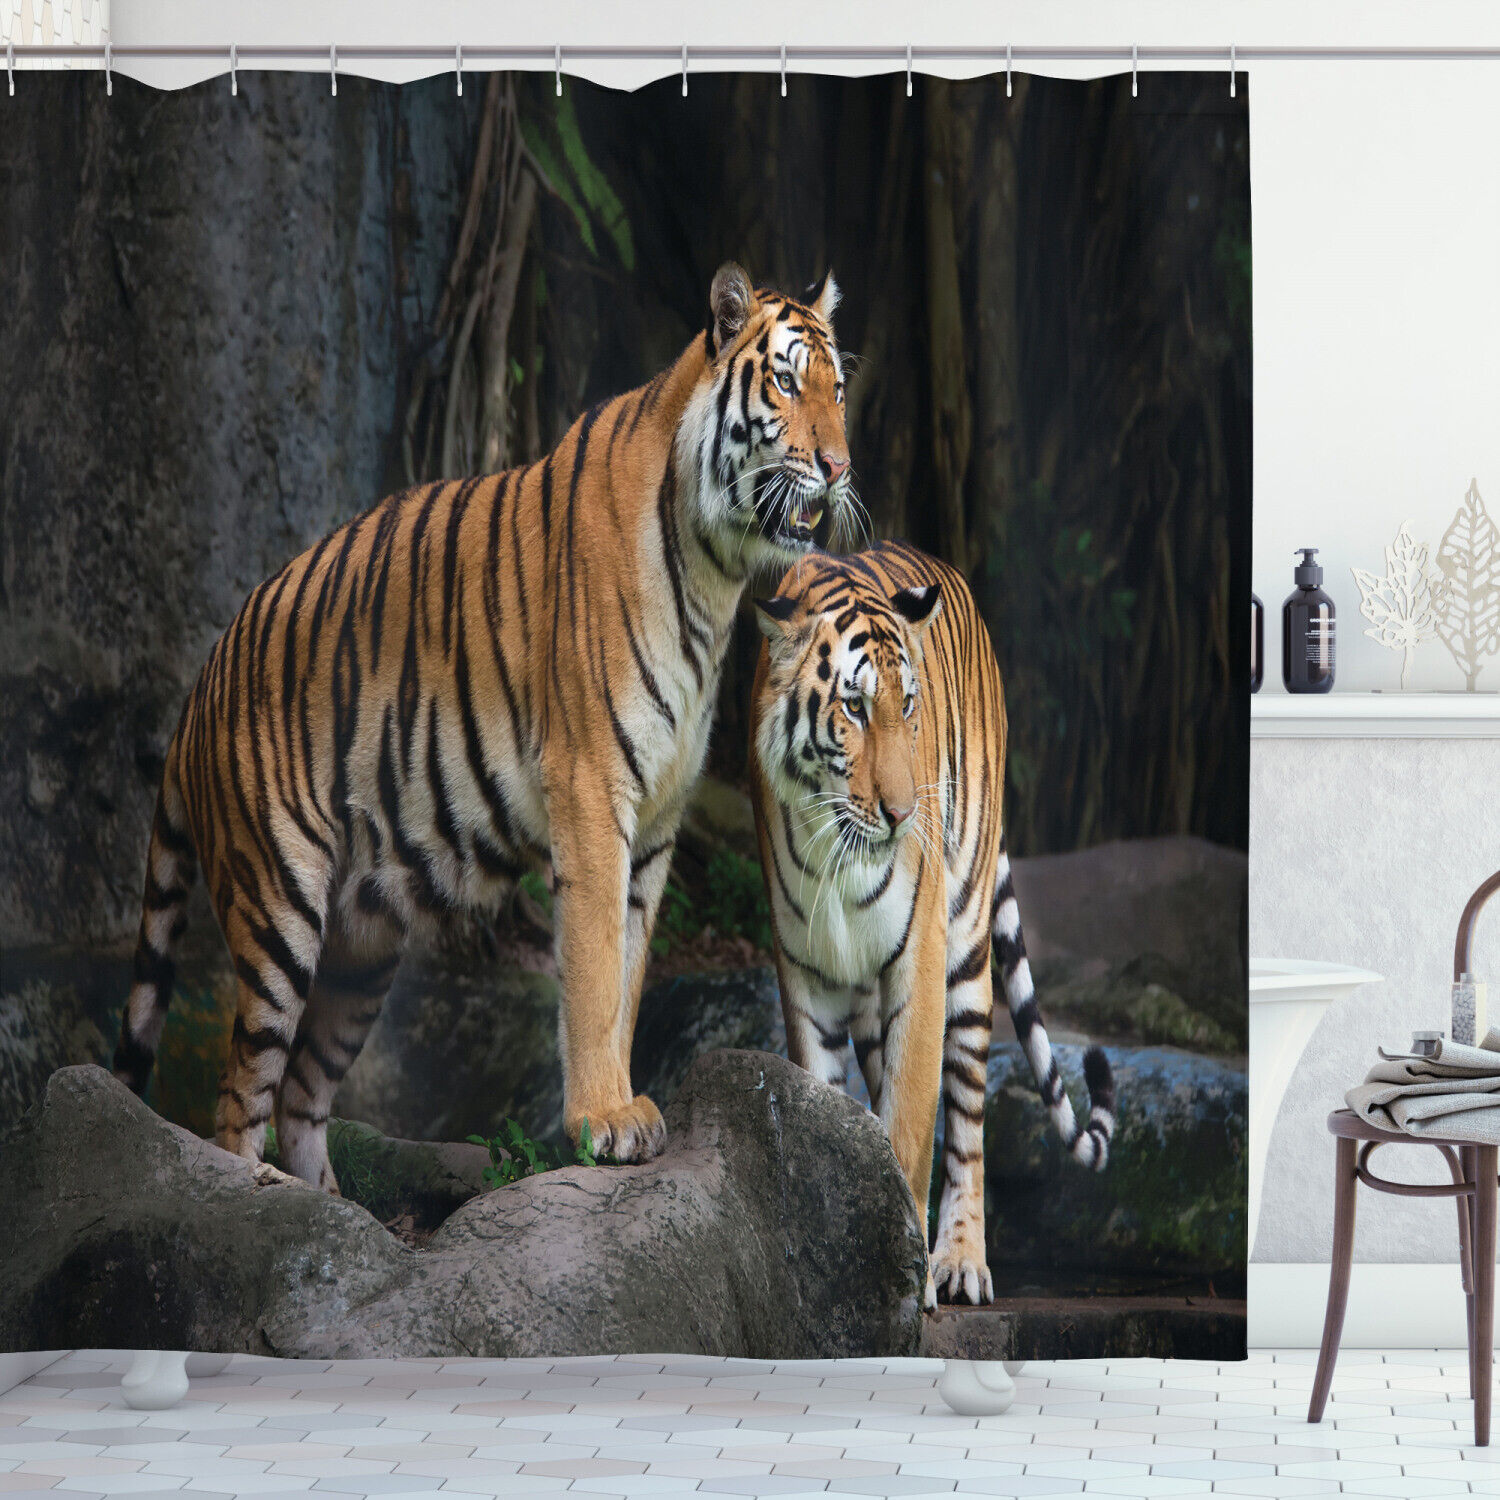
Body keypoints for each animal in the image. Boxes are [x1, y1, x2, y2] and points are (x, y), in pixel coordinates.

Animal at [113, 261, 852, 1191]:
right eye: (786, 383)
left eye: (838, 389)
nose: (839, 465)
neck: (716, 574)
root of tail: (198, 688)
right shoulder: (591, 788)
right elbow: (594, 970)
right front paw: (604, 1120)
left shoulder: (656, 820)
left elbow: (630, 971)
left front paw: (624, 1105)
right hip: (278, 902)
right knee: (238, 1098)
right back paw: (258, 1197)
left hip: (363, 946)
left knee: (303, 1095)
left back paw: (332, 1204)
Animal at [748, 540, 1115, 1306]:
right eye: (853, 708)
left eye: (908, 705)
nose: (900, 814)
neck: (835, 848)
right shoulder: (805, 974)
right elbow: (826, 1114)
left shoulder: (917, 960)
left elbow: (913, 1126)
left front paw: (901, 1279)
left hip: (967, 949)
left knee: (967, 1120)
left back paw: (961, 1262)